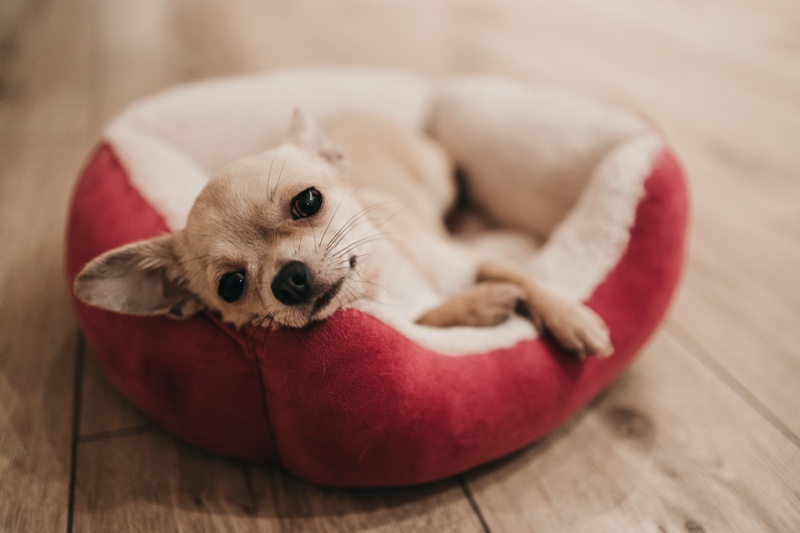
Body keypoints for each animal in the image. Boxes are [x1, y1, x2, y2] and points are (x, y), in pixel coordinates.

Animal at [75, 109, 612, 358]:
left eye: (308, 201)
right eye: (231, 286)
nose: (287, 279)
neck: (388, 287)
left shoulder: (469, 260)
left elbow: (527, 280)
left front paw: (572, 318)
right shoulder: (411, 320)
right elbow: (433, 316)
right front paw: (481, 305)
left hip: (438, 180)